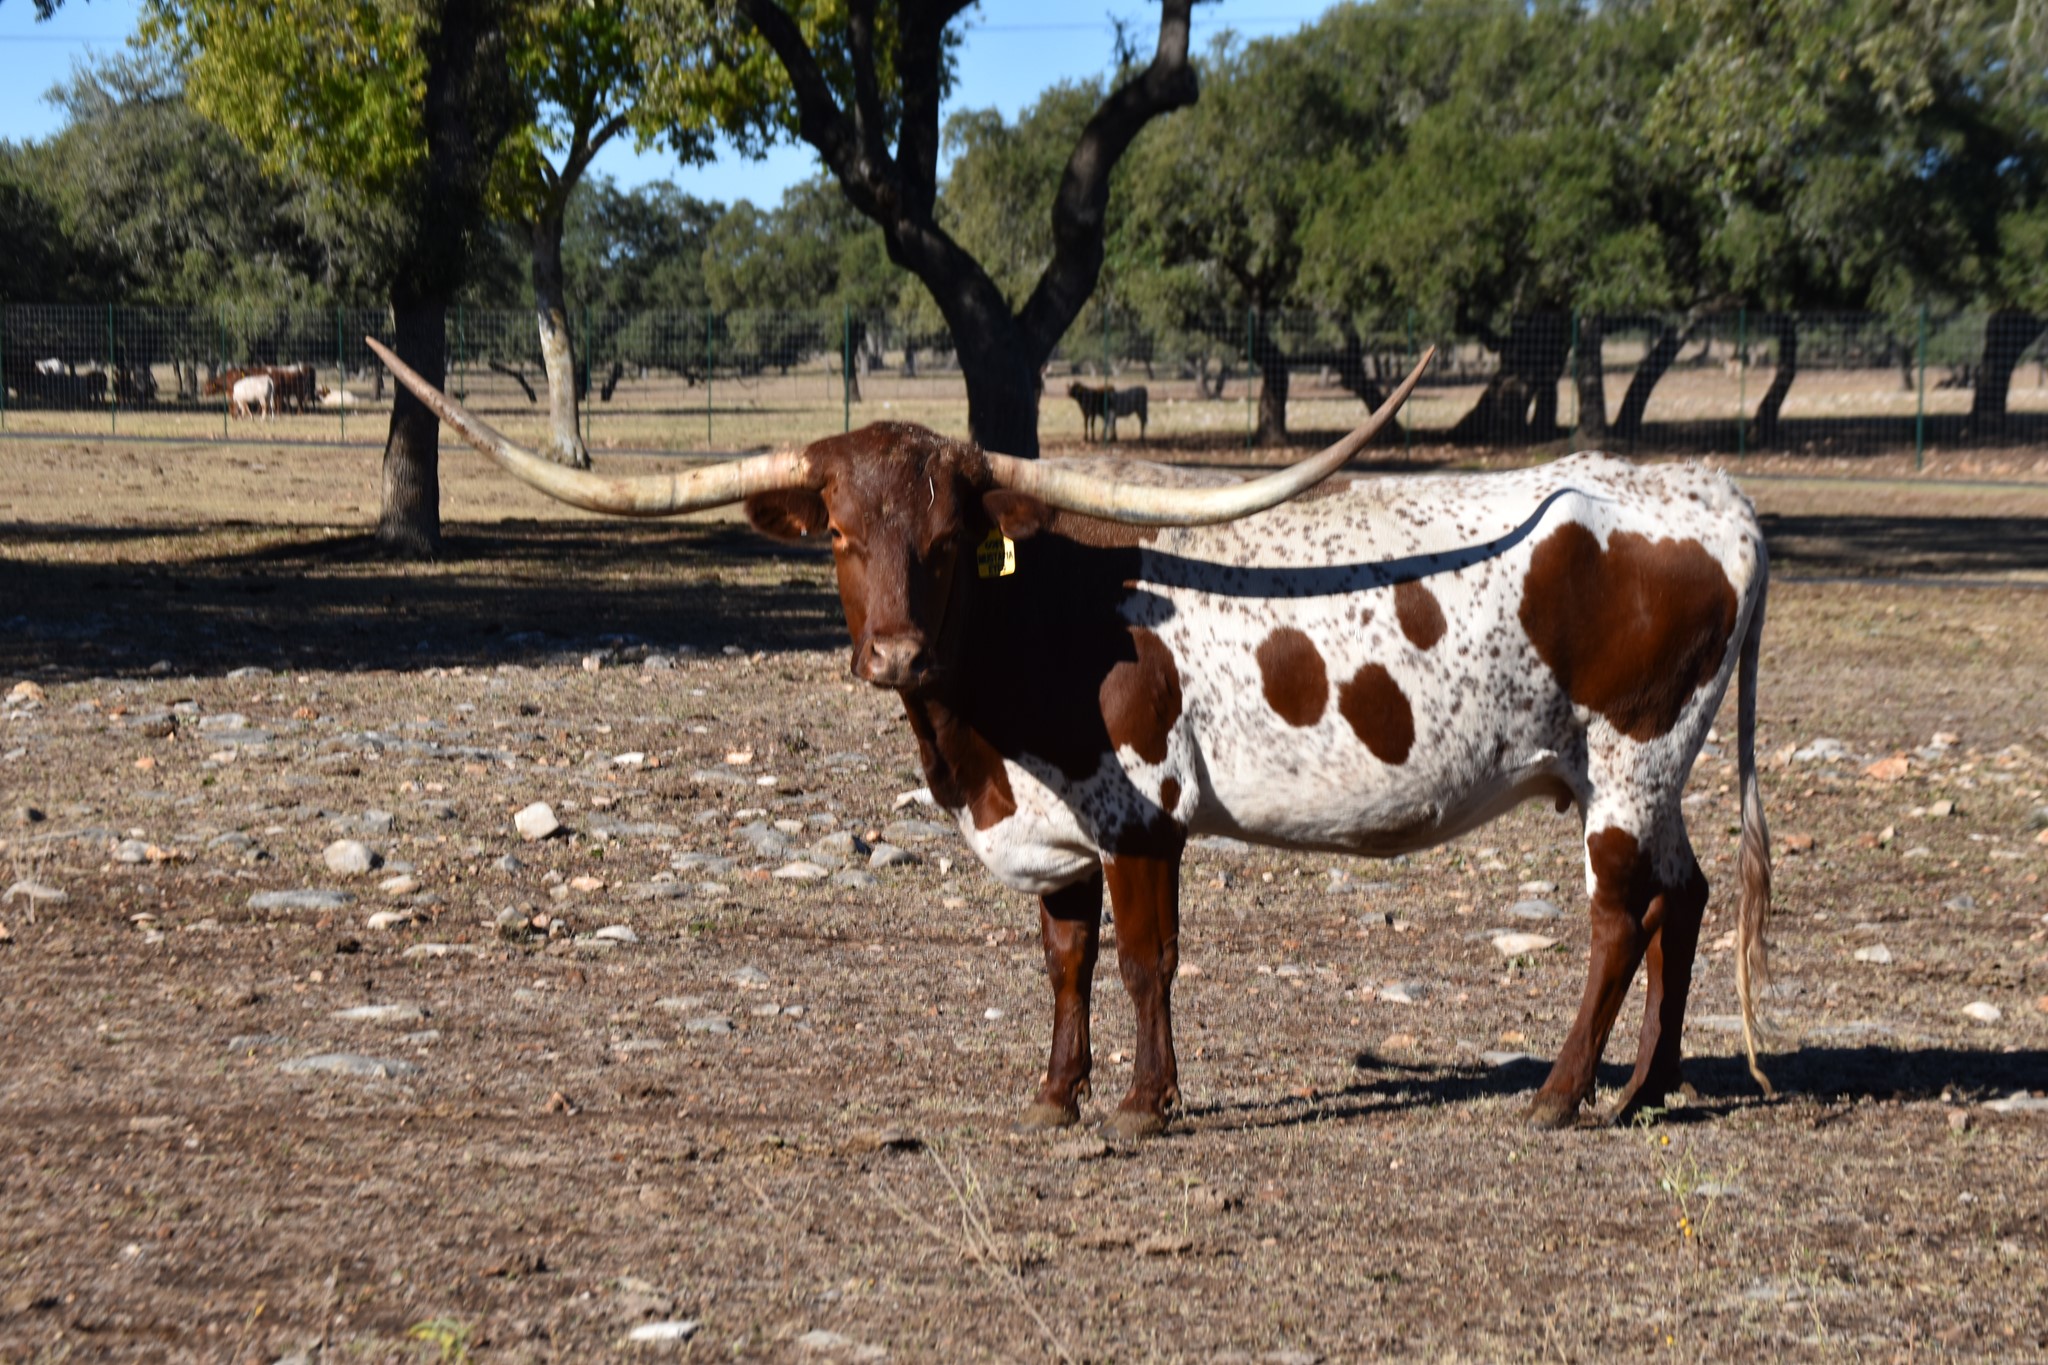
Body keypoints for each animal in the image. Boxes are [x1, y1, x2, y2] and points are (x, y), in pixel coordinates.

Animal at [368, 336, 1773, 1139]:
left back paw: (1558, 1095)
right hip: (1638, 767)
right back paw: (1645, 1088)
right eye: (839, 535)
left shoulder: (1139, 814)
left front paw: (1145, 1109)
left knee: (1618, 913)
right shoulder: (1052, 834)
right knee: (1685, 894)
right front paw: (1054, 1095)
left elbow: (1145, 961)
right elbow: (1063, 963)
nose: (895, 656)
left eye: (947, 542)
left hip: (1628, 753)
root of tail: (1710, 494)